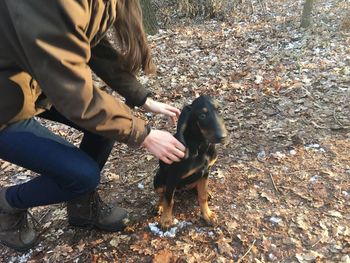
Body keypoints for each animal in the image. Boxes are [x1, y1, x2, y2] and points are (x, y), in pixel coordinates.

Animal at [154, 95, 228, 229]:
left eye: (219, 110)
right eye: (202, 115)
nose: (223, 137)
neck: (201, 146)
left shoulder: (205, 171)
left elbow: (202, 196)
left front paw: (207, 215)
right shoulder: (173, 177)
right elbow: (169, 200)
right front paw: (166, 220)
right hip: (158, 179)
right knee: (163, 193)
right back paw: (159, 205)